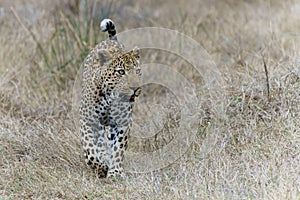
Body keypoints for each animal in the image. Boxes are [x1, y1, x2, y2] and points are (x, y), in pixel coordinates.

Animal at [79, 18, 141, 178]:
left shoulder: (122, 124)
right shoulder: (88, 121)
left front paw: (115, 172)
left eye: (138, 71)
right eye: (121, 72)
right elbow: (90, 149)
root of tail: (112, 41)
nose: (136, 88)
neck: (110, 99)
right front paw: (100, 167)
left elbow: (118, 149)